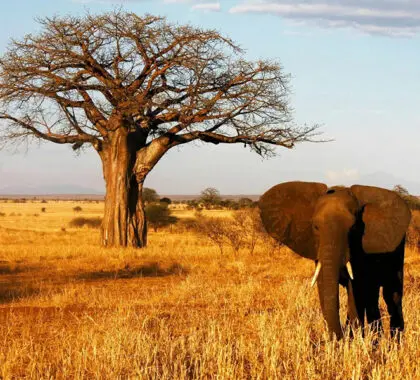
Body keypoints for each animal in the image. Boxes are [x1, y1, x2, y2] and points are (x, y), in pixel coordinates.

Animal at [260, 183, 410, 340]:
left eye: (353, 228)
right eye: (315, 227)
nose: (340, 336)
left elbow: (355, 289)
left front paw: (353, 339)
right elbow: (323, 286)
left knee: (392, 296)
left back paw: (393, 343)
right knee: (372, 298)